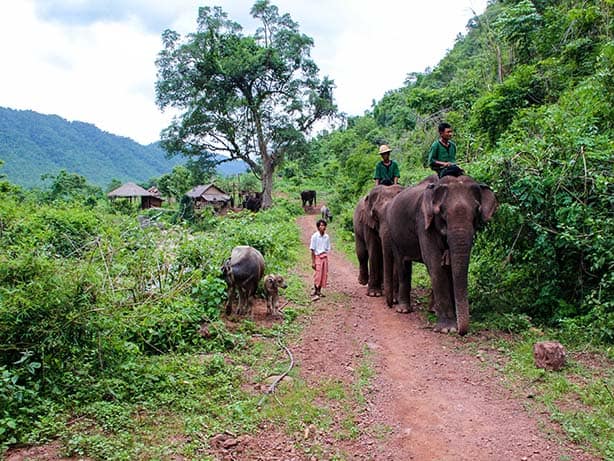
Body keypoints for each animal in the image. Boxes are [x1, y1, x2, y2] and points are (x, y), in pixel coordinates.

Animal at [388, 174, 498, 336]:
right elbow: (434, 264)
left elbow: (450, 266)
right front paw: (448, 329)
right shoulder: (424, 222)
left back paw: (432, 310)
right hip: (394, 234)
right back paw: (404, 310)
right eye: (443, 214)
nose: (462, 331)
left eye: (476, 212)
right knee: (403, 265)